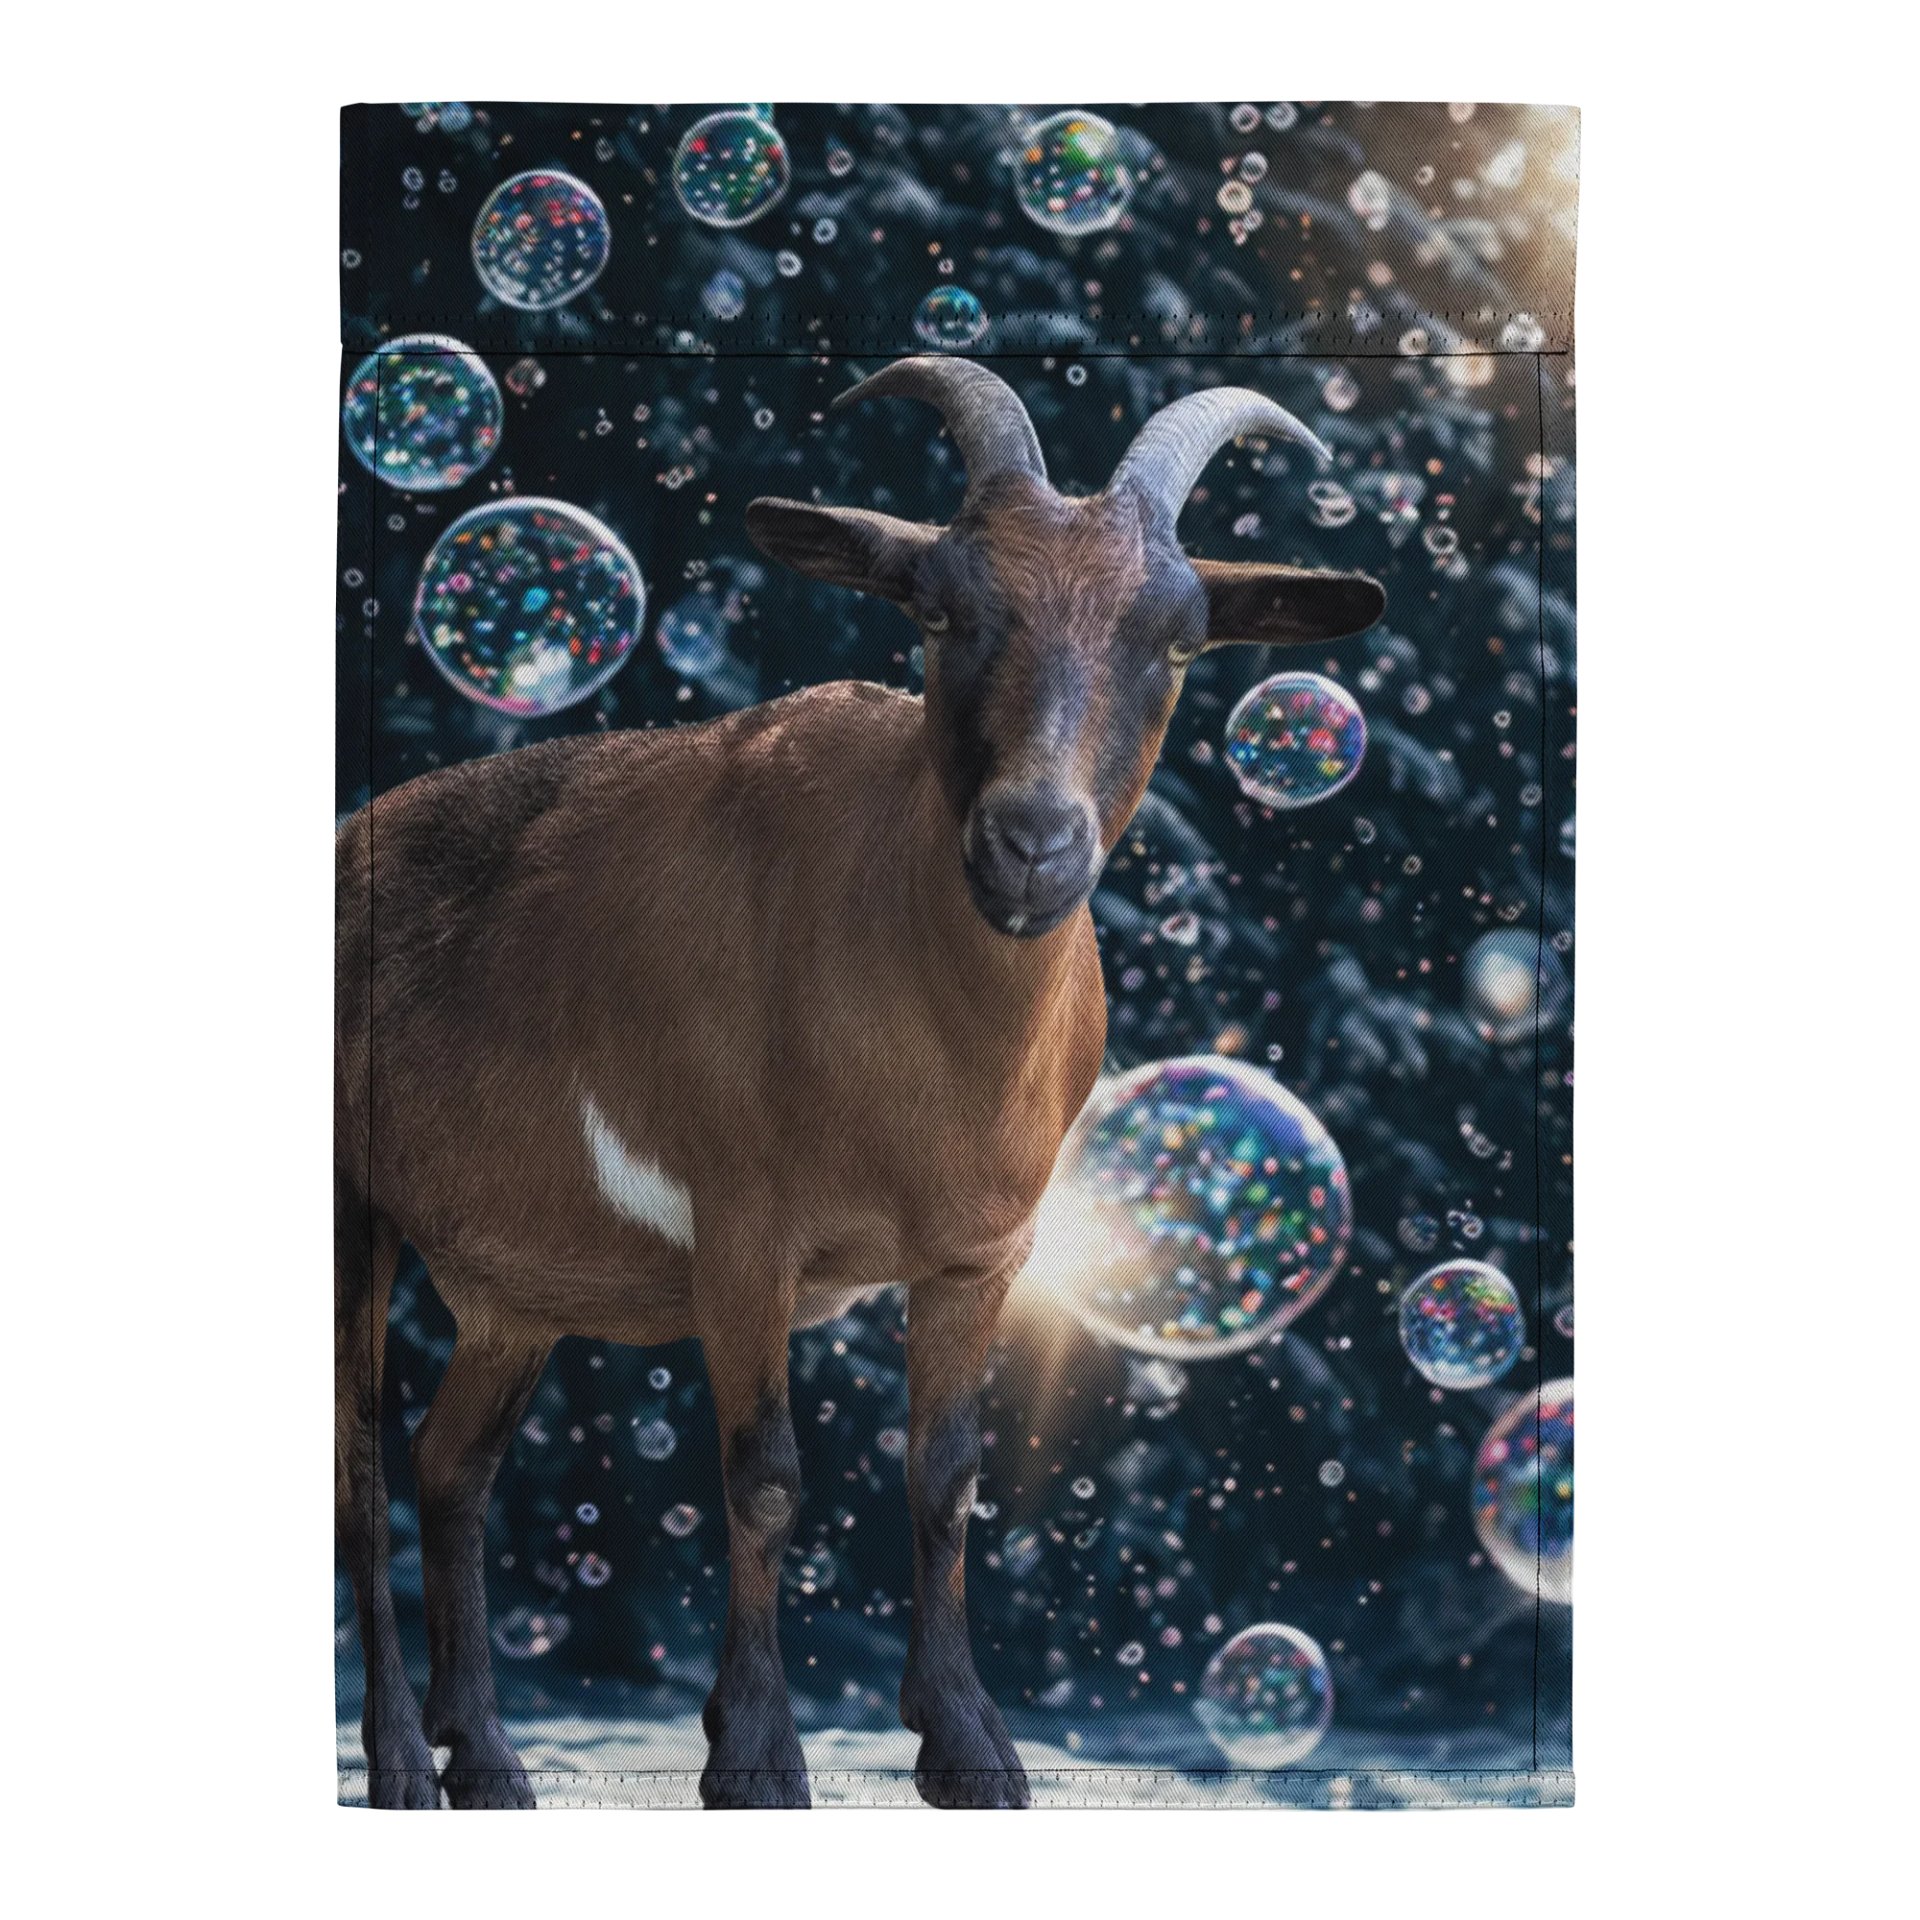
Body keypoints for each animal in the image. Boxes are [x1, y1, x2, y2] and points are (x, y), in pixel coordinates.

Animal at [336, 356, 1385, 1810]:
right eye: (941, 609)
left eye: (1178, 642)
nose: (1032, 842)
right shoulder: (741, 1231)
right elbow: (764, 1476)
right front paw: (756, 1756)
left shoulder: (983, 1255)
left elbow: (944, 1478)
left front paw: (972, 1747)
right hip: (355, 1208)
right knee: (360, 1468)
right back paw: (398, 1759)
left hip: (515, 1286)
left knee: (451, 1470)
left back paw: (486, 1759)